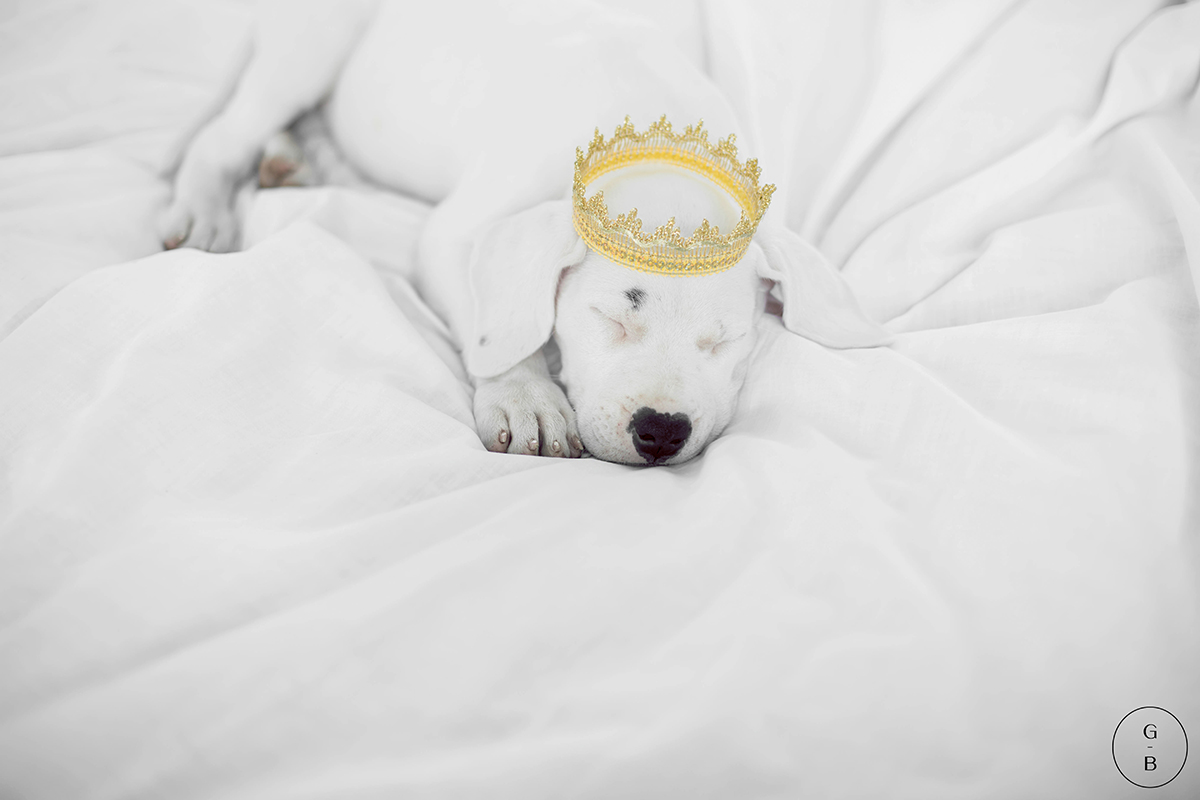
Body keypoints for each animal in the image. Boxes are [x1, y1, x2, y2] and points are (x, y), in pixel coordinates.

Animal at [160, 0, 890, 466]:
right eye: (609, 318)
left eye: (726, 341)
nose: (661, 431)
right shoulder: (457, 237)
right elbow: (504, 327)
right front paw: (525, 399)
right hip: (312, 43)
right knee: (229, 130)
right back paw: (207, 202)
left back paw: (294, 156)